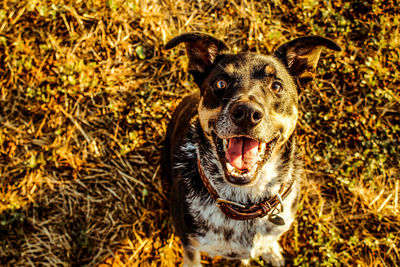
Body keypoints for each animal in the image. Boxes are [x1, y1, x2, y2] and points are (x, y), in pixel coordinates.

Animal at [162, 32, 340, 266]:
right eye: (220, 83)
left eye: (276, 86)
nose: (246, 113)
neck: (243, 202)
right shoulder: (189, 243)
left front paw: (270, 251)